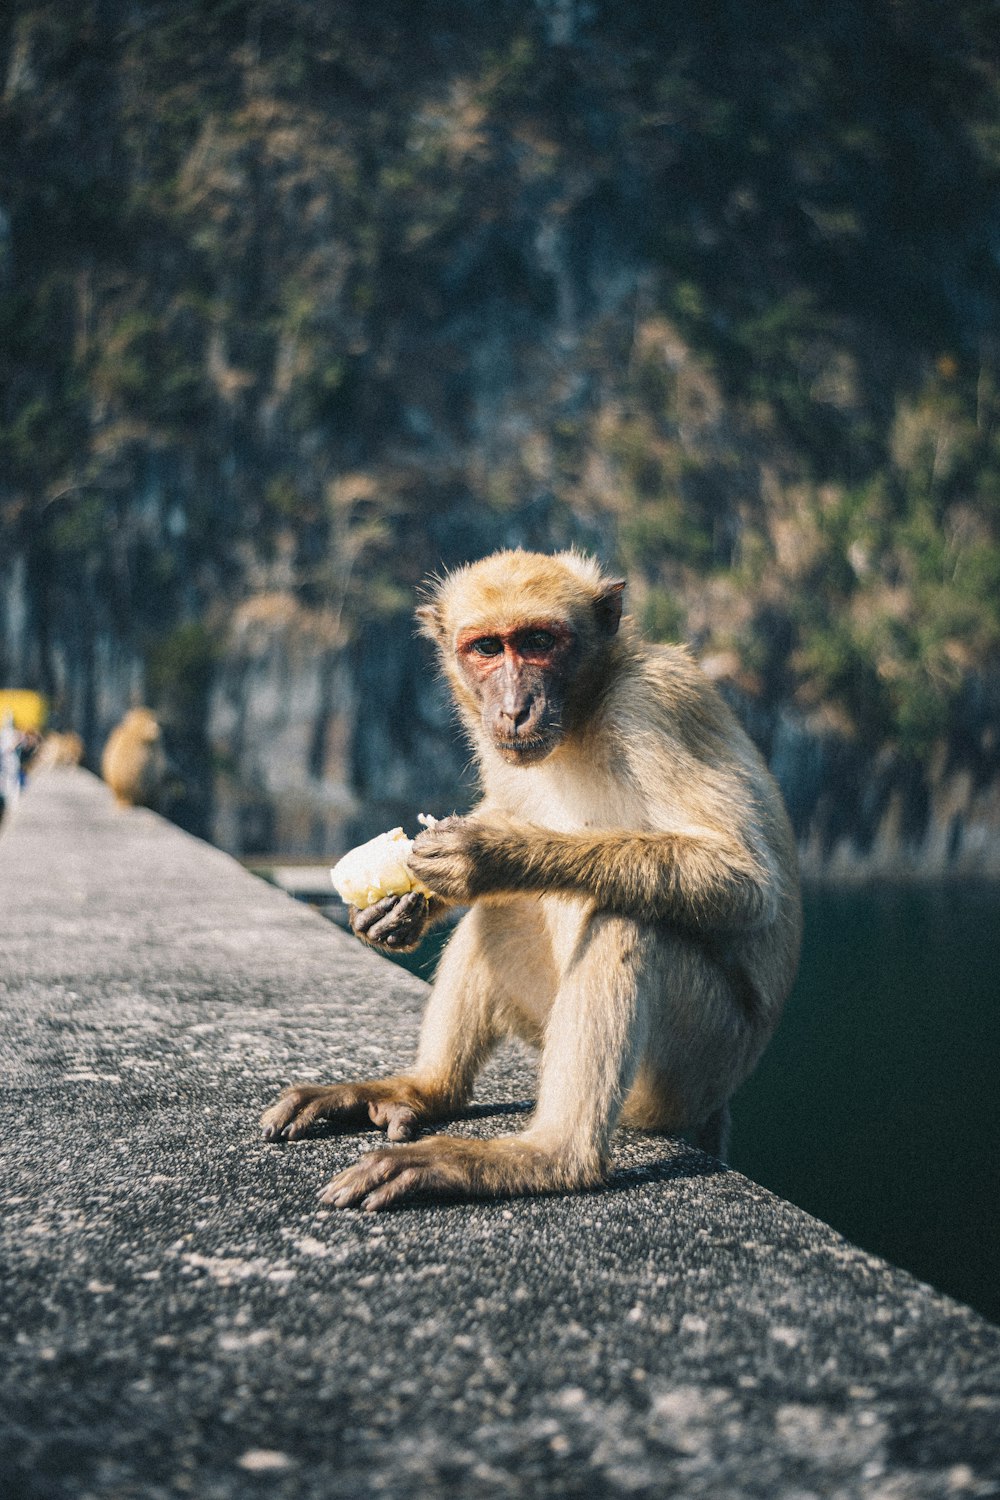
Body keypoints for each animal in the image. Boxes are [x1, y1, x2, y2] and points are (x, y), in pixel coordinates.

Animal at [262, 549, 803, 1206]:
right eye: (487, 648)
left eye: (539, 642)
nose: (515, 708)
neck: (585, 711)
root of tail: (716, 1104)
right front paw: (395, 909)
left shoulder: (657, 703)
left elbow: (744, 880)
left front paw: (488, 854)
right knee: (504, 913)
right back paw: (426, 1089)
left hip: (694, 1065)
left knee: (628, 917)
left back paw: (545, 1157)